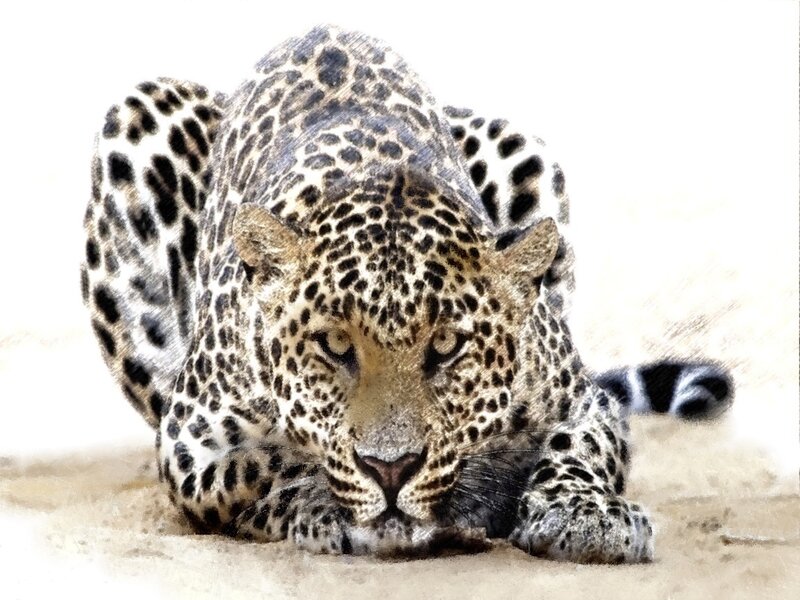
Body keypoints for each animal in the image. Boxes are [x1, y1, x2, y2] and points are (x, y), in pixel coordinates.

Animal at [80, 25, 733, 562]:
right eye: (334, 345)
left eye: (446, 347)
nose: (390, 470)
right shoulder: (191, 440)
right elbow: (268, 462)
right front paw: (324, 503)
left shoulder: (581, 397)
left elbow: (580, 445)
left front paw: (584, 514)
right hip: (140, 117)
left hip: (520, 146)